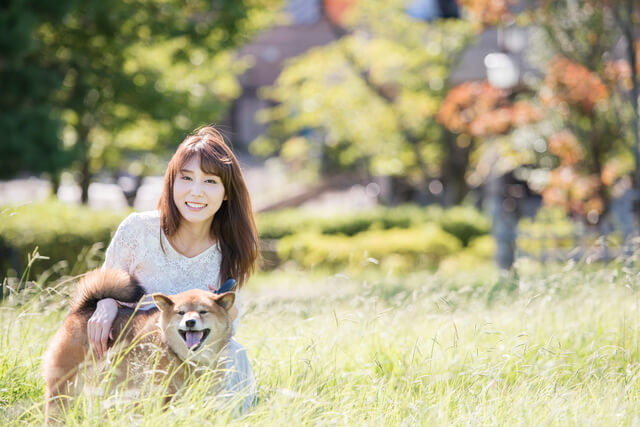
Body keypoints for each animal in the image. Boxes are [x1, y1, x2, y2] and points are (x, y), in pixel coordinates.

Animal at [43, 270, 236, 422]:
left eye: (203, 311)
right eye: (180, 312)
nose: (190, 322)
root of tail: (84, 308)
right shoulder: (160, 393)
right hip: (64, 387)